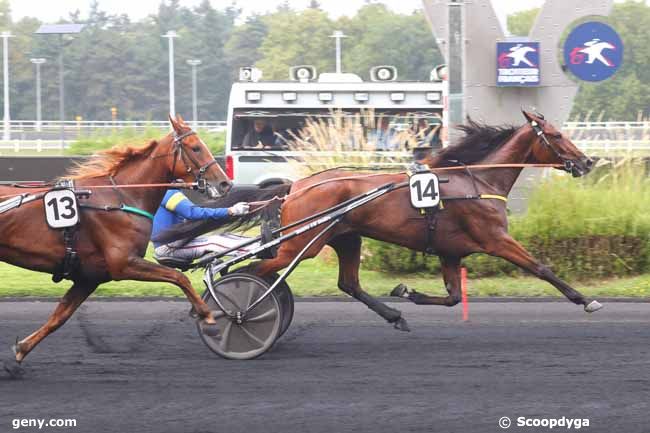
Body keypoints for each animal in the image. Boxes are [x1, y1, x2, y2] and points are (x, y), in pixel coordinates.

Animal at [0, 115, 233, 374]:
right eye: (195, 147)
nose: (225, 183)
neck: (122, 197)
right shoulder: (123, 264)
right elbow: (178, 277)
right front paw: (208, 318)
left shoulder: (89, 277)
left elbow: (59, 317)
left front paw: (21, 349)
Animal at [159, 110, 600, 330]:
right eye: (556, 136)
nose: (587, 161)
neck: (475, 180)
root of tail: (296, 186)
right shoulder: (494, 239)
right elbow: (541, 267)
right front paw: (585, 300)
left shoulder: (450, 251)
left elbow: (453, 296)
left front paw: (408, 292)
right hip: (303, 243)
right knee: (251, 269)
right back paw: (236, 308)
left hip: (345, 236)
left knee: (348, 283)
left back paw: (394, 315)